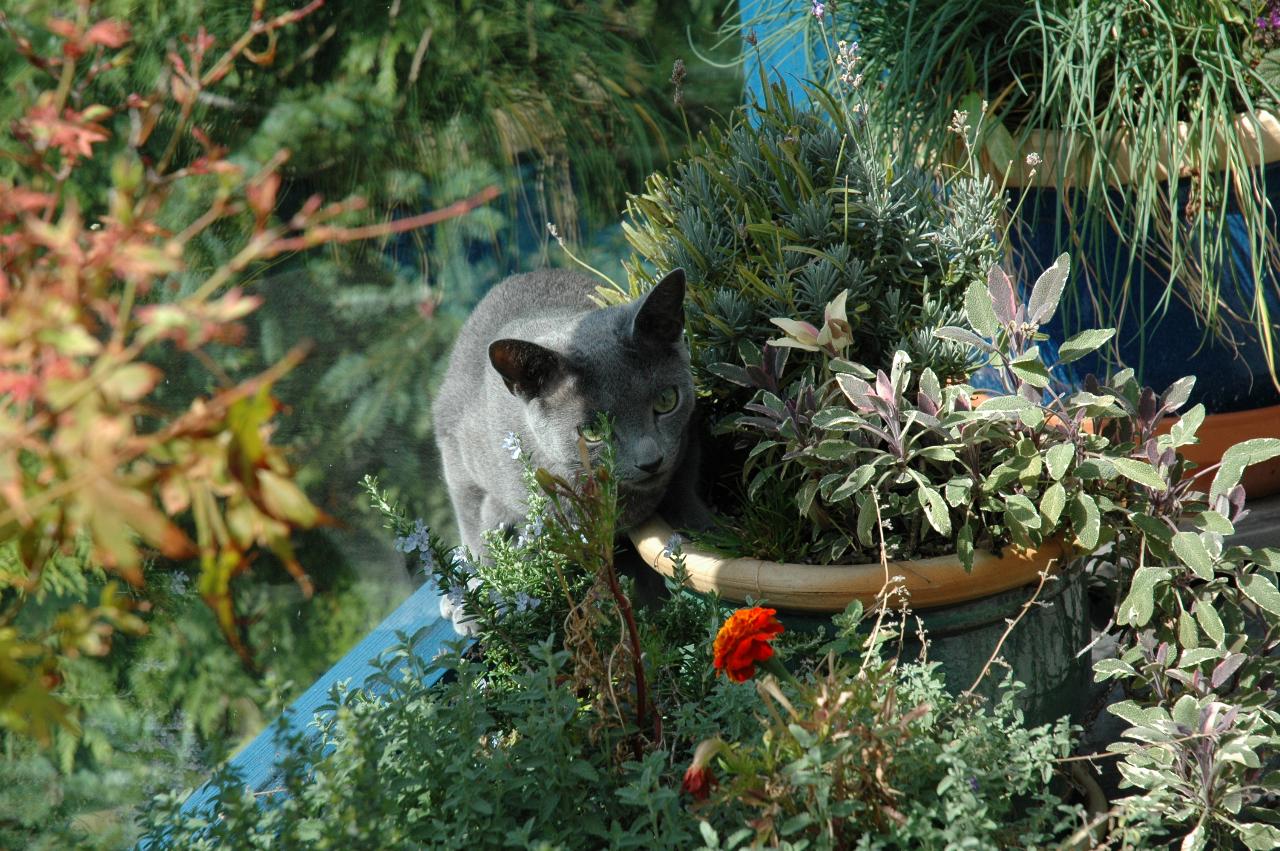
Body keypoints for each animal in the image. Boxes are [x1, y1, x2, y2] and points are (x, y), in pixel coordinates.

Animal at [435, 268, 706, 568]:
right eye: (592, 431)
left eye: (666, 401)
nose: (651, 461)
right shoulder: (462, 462)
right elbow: (477, 527)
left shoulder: (687, 441)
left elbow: (684, 488)